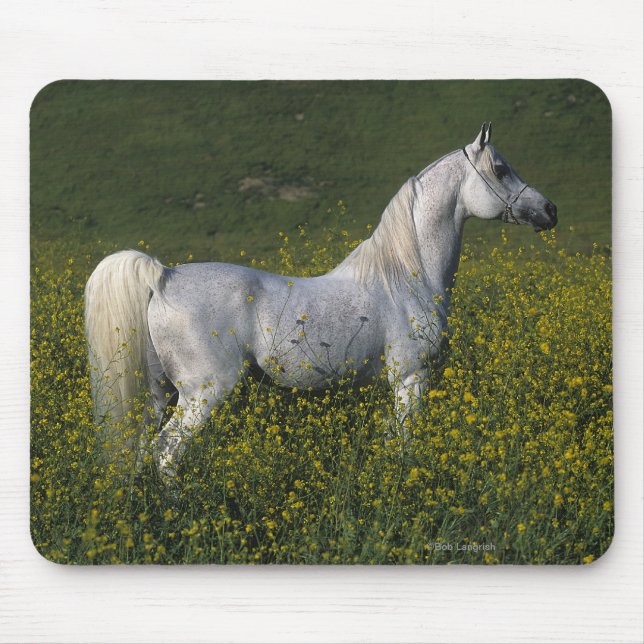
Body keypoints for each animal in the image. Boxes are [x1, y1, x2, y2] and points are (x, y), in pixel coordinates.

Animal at [85, 123, 557, 483]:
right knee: (166, 453)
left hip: (158, 395)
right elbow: (404, 445)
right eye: (500, 169)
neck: (407, 276)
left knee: (141, 451)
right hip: (203, 393)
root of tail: (163, 276)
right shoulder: (411, 378)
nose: (549, 210)